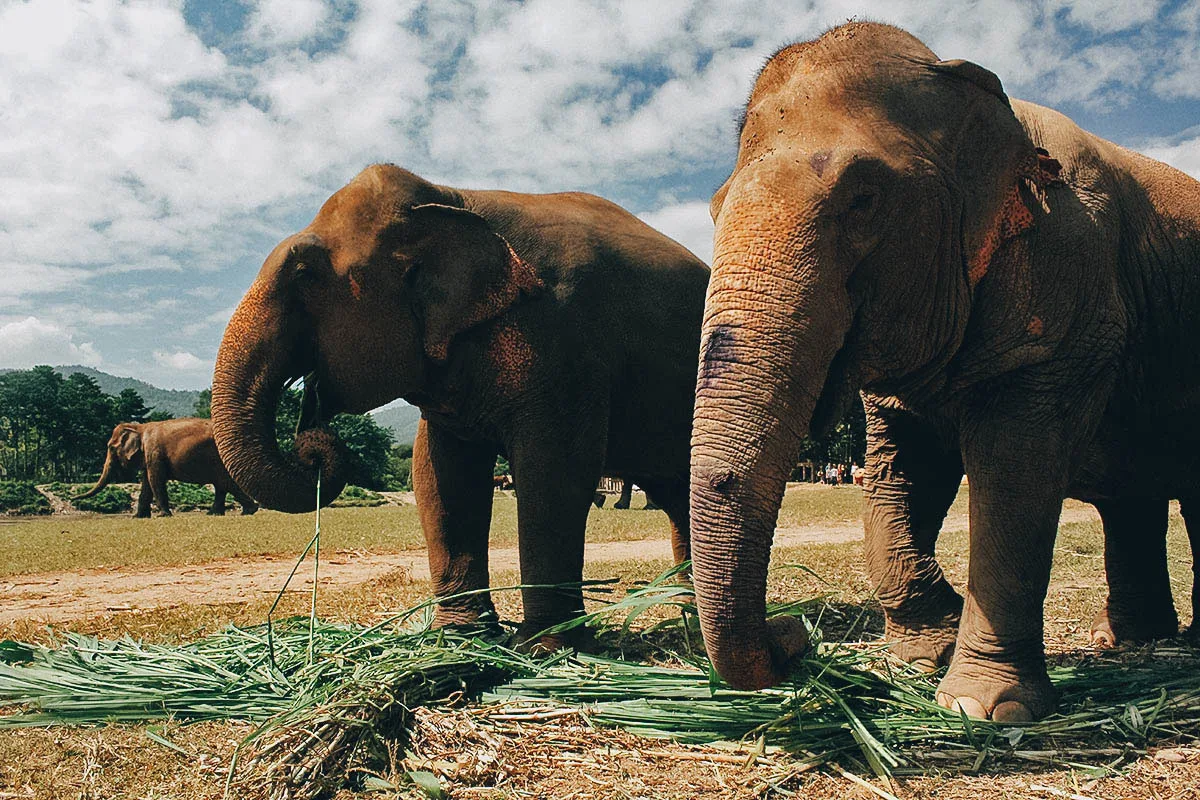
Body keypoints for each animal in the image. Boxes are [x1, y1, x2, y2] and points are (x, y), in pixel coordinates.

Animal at [80, 419, 260, 520]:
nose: (76, 499)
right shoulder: (149, 456)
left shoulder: (154, 452)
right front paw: (137, 517)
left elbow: (155, 481)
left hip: (218, 458)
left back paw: (249, 511)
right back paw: (216, 514)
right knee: (221, 484)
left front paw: (162, 516)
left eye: (110, 447)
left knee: (224, 482)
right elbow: (146, 484)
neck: (140, 428)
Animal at [211, 164, 705, 642]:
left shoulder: (566, 340)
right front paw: (460, 642)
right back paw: (691, 611)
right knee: (678, 493)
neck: (450, 197)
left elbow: (554, 473)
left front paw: (545, 647)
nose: (311, 438)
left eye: (304, 274)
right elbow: (440, 474)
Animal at [686, 21, 1200, 724]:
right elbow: (897, 478)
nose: (794, 636)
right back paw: (1124, 641)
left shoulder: (1065, 285)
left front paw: (980, 707)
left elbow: (1014, 477)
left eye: (864, 200)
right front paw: (923, 656)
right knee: (1133, 494)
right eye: (712, 210)